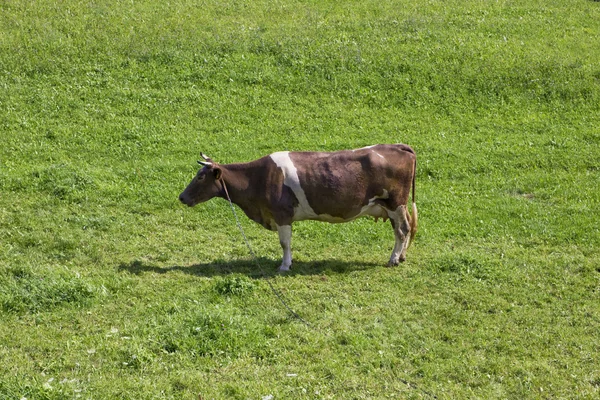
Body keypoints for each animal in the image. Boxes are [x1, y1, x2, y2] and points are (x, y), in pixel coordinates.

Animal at [178, 145, 418, 272]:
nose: (181, 197)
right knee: (406, 229)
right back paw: (401, 256)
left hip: (395, 203)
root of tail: (396, 146)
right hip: (393, 207)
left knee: (402, 231)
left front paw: (285, 266)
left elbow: (284, 243)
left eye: (200, 177)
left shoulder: (282, 214)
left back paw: (393, 259)